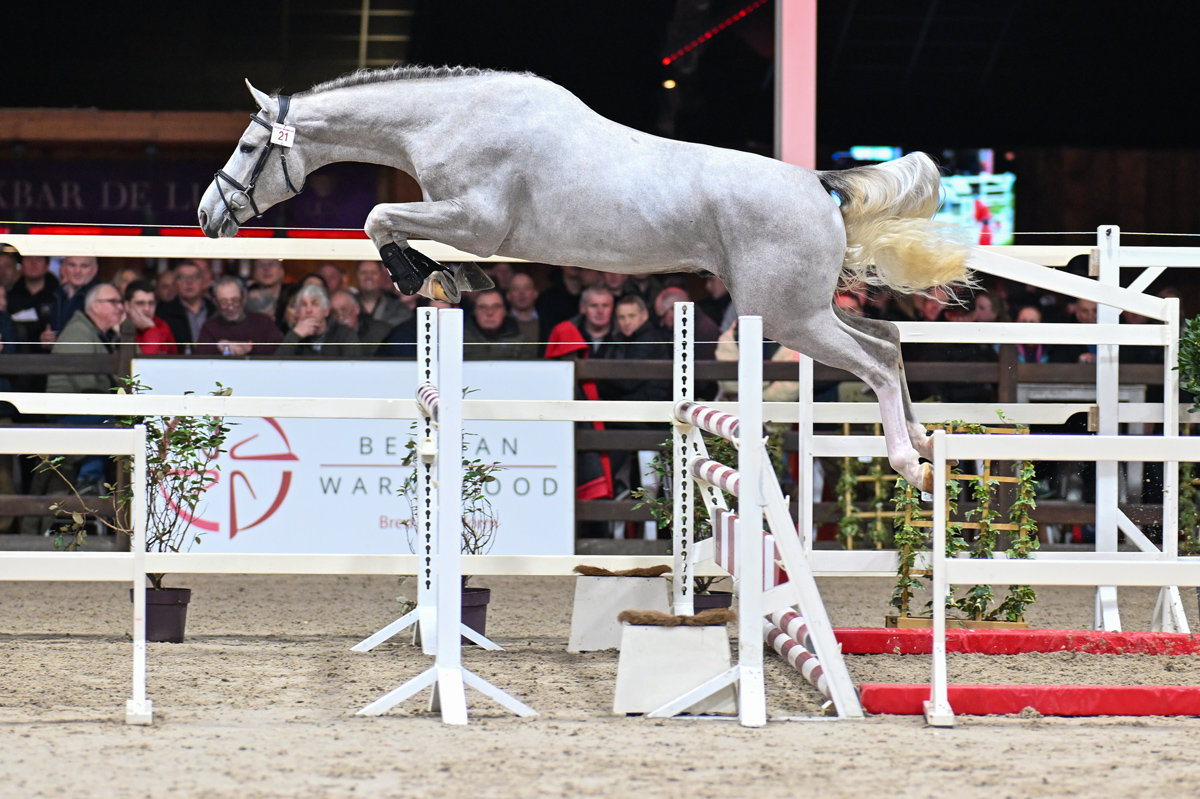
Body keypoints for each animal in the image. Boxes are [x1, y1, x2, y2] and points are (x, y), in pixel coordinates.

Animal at [197, 66, 969, 492]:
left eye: (248, 145)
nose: (208, 215)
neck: (448, 118)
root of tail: (818, 183)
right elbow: (385, 219)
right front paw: (442, 280)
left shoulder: (476, 222)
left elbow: (377, 216)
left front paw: (428, 278)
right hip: (804, 311)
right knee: (888, 335)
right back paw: (931, 442)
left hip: (787, 317)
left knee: (874, 359)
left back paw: (910, 462)